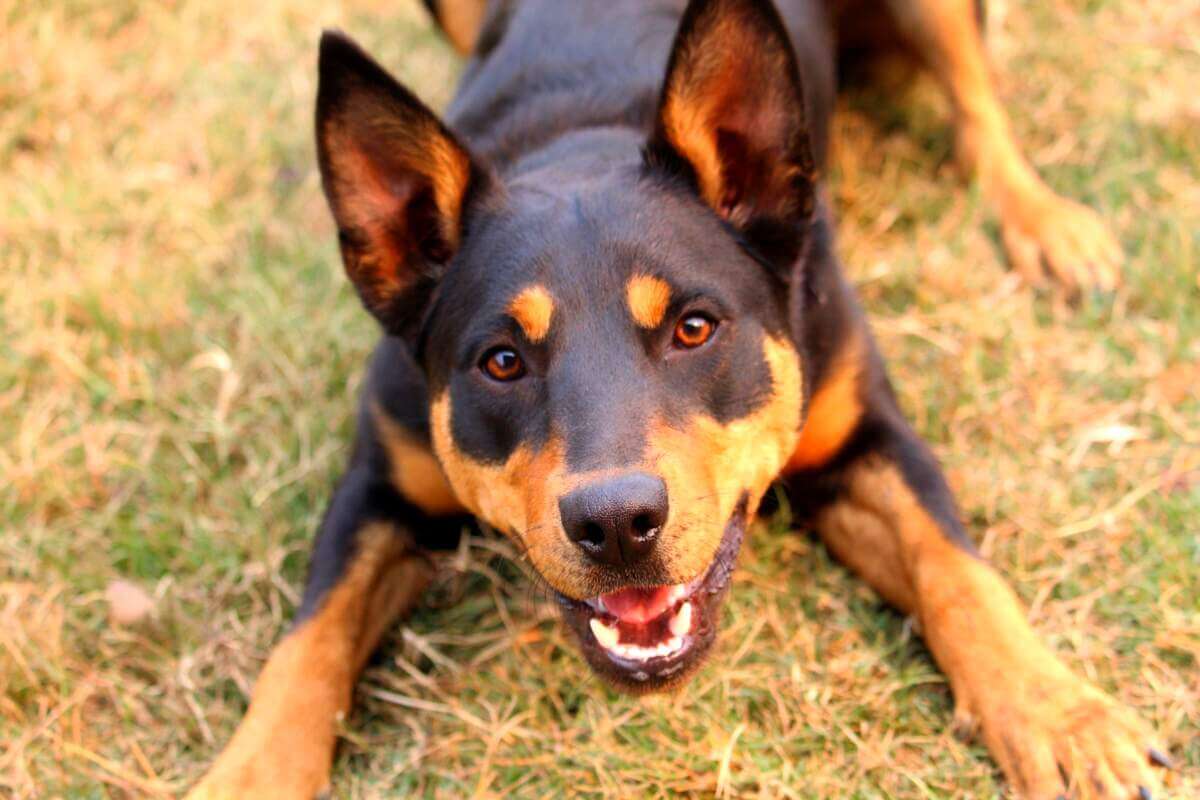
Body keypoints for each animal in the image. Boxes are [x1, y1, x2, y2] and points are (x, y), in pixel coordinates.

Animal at [189, 0, 1171, 796]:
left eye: (694, 328)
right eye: (501, 361)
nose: (618, 524)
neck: (582, 139)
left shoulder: (866, 436)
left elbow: (960, 573)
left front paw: (1059, 717)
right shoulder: (380, 484)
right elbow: (303, 649)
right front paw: (248, 775)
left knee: (979, 110)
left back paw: (1045, 224)